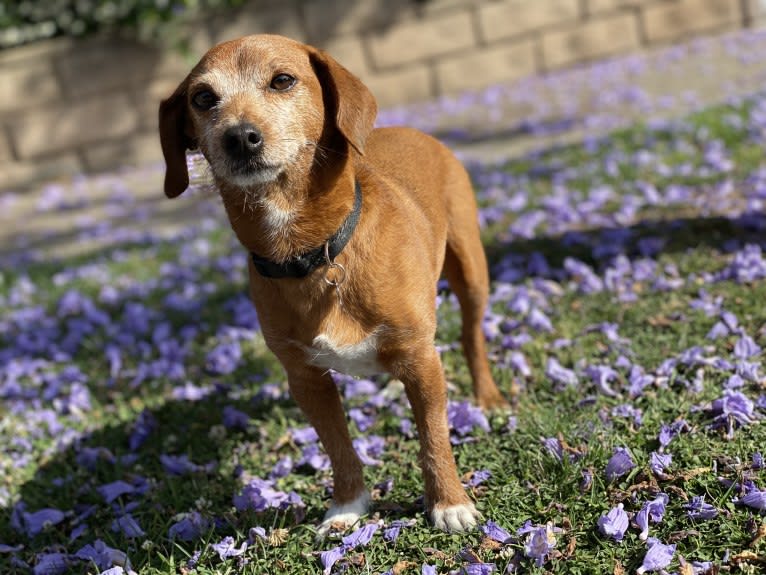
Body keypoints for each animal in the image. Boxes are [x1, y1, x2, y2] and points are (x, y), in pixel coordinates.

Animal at [160, 33, 510, 532]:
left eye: (282, 80)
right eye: (203, 98)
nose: (240, 136)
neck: (312, 252)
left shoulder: (422, 360)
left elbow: (434, 438)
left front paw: (449, 503)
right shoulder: (306, 379)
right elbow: (338, 447)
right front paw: (348, 505)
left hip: (472, 273)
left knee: (471, 337)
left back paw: (488, 397)